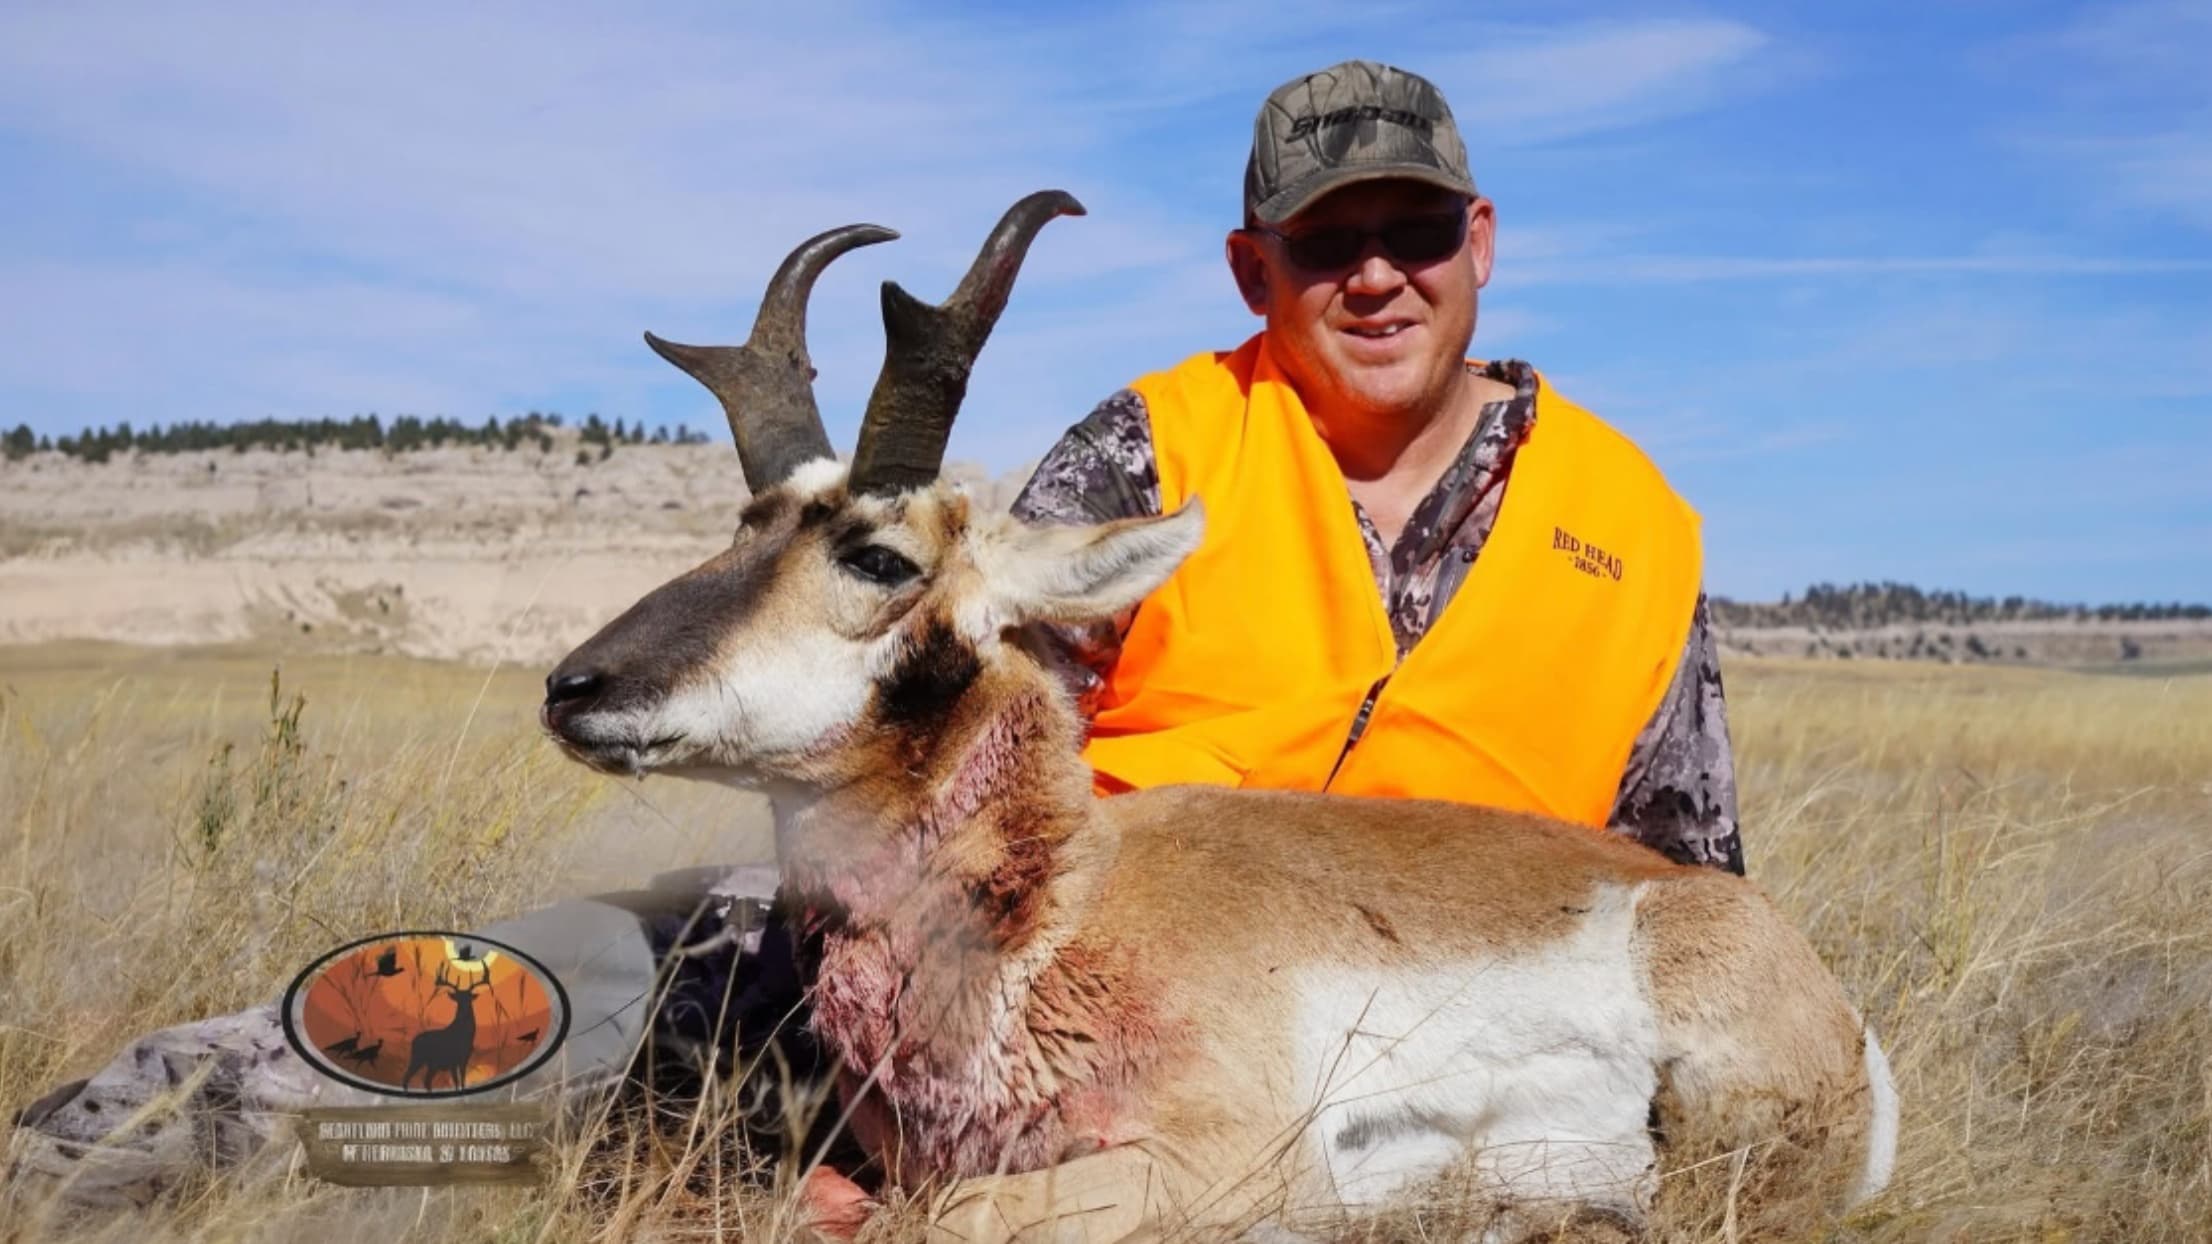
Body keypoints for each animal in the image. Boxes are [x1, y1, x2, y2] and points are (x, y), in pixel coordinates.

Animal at [540, 191, 1898, 1241]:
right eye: (743, 526)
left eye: (878, 556)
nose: (573, 686)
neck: (1062, 910)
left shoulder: (1222, 1162)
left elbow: (946, 1212)